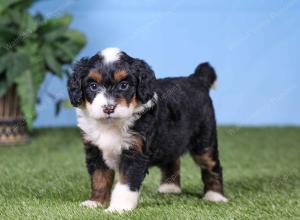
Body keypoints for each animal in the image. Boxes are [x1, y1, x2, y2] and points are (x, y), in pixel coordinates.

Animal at [67, 47, 227, 212]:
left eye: (124, 85)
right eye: (93, 86)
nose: (108, 108)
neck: (111, 125)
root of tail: (197, 79)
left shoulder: (135, 151)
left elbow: (125, 184)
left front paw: (118, 208)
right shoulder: (95, 149)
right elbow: (99, 178)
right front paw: (95, 202)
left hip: (204, 140)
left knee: (212, 165)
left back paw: (215, 196)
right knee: (173, 159)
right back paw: (170, 187)